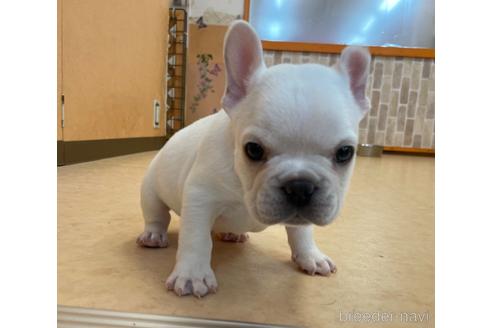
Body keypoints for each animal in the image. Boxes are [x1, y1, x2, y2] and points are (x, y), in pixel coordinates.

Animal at [136, 20, 370, 298]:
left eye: (345, 152)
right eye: (253, 150)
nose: (300, 186)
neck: (244, 185)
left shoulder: (301, 219)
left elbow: (302, 233)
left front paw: (310, 256)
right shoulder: (200, 197)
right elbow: (196, 238)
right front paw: (193, 275)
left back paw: (232, 234)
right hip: (151, 190)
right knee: (157, 215)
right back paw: (153, 235)